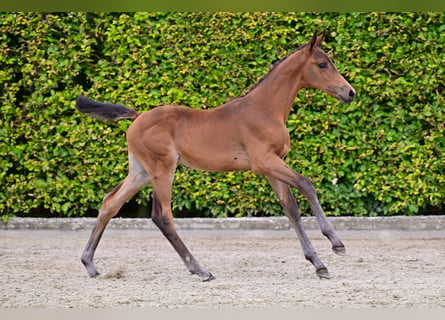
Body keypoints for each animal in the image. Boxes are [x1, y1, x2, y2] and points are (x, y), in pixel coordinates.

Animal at [76, 31, 354, 278]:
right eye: (322, 64)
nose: (349, 92)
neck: (264, 109)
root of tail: (138, 117)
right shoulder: (264, 162)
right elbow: (307, 185)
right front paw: (336, 242)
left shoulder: (273, 165)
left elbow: (291, 209)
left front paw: (318, 263)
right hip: (162, 169)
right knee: (162, 216)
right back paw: (200, 270)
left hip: (141, 171)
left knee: (110, 202)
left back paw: (89, 263)